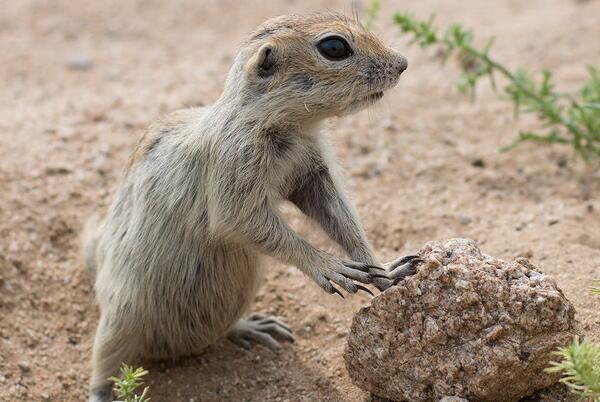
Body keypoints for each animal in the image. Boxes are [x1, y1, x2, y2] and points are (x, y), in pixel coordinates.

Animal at [84, 11, 420, 400]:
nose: (403, 63)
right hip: (120, 316)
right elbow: (243, 221)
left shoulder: (312, 173)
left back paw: (253, 328)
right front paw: (330, 266)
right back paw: (101, 391)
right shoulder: (234, 164)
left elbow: (340, 216)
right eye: (334, 47)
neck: (291, 125)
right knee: (105, 363)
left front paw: (385, 269)